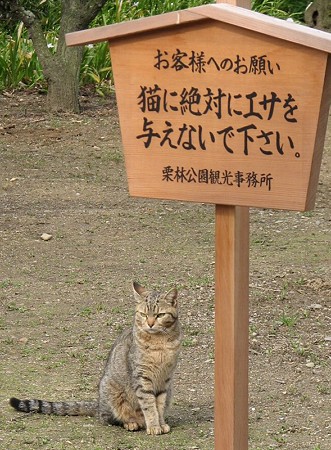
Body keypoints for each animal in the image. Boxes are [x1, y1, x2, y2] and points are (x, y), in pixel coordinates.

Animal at [9, 284, 182, 434]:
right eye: (143, 314)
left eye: (160, 315)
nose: (150, 324)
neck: (159, 343)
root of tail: (98, 404)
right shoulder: (142, 377)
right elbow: (149, 405)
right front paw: (153, 426)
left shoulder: (165, 380)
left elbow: (159, 406)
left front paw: (161, 423)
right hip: (112, 392)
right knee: (107, 418)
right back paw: (131, 423)